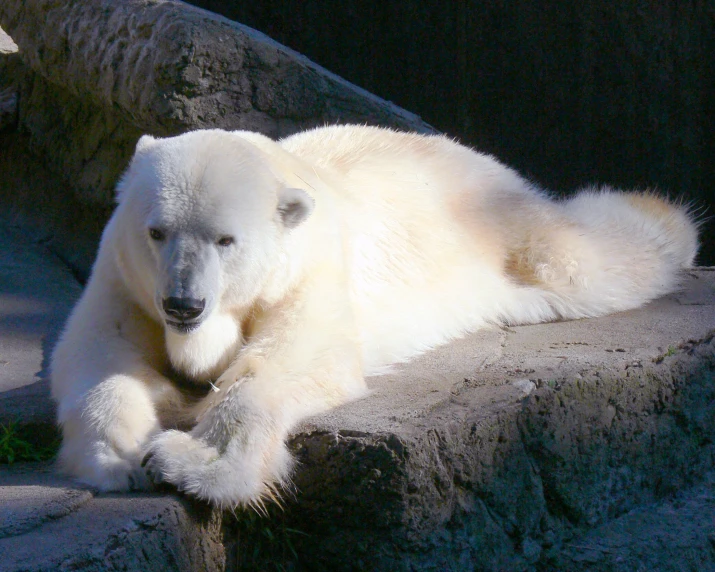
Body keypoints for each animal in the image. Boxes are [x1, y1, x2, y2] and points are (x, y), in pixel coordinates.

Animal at [50, 126, 700, 510]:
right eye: (157, 231)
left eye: (225, 239)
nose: (184, 305)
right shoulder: (124, 276)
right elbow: (96, 354)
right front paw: (120, 456)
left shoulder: (309, 268)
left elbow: (293, 361)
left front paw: (190, 463)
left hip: (503, 229)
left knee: (584, 259)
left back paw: (661, 216)